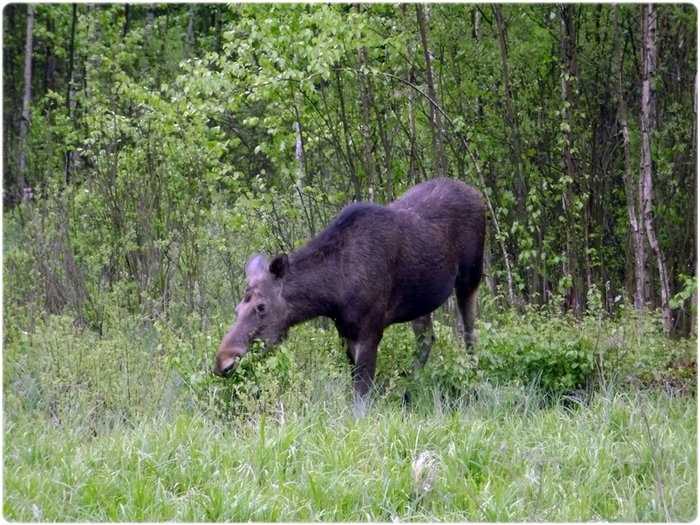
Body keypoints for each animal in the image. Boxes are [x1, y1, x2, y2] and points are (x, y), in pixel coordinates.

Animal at [215, 177, 486, 406]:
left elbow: (360, 400)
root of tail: (478, 195)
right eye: (237, 308)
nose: (222, 364)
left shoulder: (370, 332)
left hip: (471, 277)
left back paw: (472, 385)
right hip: (422, 299)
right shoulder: (346, 332)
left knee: (469, 333)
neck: (332, 296)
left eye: (261, 306)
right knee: (427, 338)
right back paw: (408, 391)